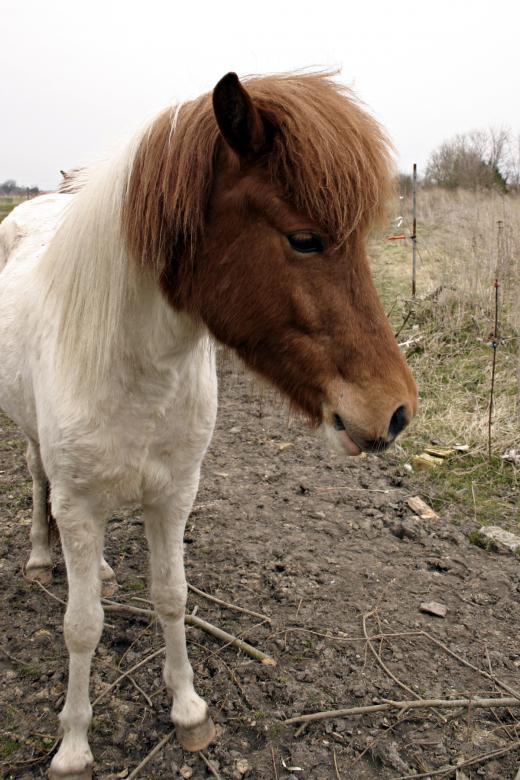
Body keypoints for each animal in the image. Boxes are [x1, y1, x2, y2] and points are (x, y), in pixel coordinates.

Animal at [0, 71, 417, 778]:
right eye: (304, 238)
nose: (395, 410)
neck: (136, 368)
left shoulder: (173, 495)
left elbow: (172, 595)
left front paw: (189, 711)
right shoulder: (78, 504)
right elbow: (82, 626)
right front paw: (74, 745)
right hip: (39, 453)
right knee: (36, 483)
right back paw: (37, 556)